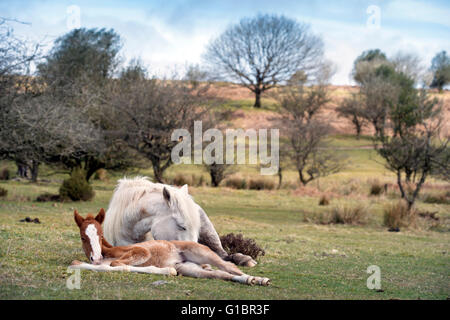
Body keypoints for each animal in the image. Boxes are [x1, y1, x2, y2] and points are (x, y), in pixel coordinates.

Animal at [68, 209, 268, 286]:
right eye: (82, 237)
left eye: (101, 236)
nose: (96, 258)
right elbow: (78, 264)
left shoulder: (141, 251)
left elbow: (116, 264)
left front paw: (166, 271)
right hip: (191, 268)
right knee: (220, 274)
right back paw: (252, 280)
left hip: (204, 254)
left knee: (230, 267)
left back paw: (258, 279)